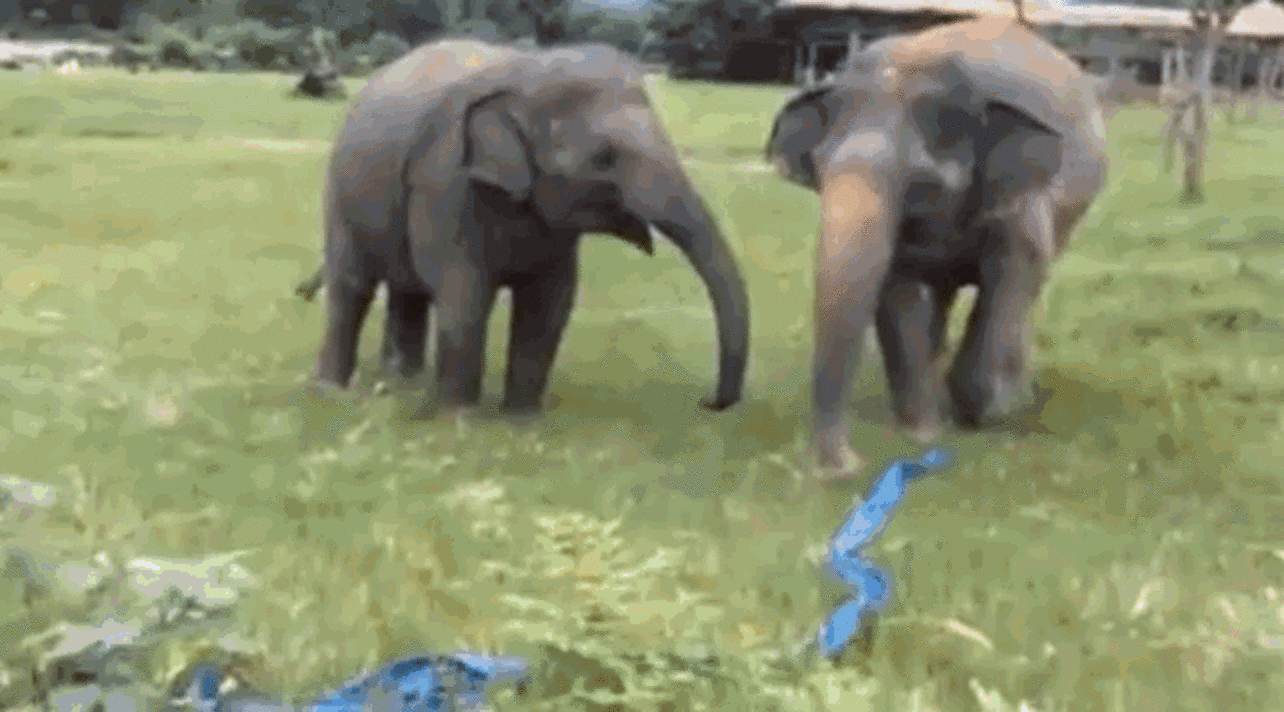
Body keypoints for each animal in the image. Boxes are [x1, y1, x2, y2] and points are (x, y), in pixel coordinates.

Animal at [310, 39, 750, 416]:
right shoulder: (446, 180)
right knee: (352, 286)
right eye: (604, 157)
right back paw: (334, 390)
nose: (707, 402)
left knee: (408, 292)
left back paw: (402, 383)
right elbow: (464, 296)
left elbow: (549, 305)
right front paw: (458, 422)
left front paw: (520, 423)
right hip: (339, 196)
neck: (530, 72)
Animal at [766, 17, 1109, 478]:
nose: (845, 466)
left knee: (1024, 293)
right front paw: (924, 432)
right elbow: (898, 291)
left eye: (921, 184)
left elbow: (1011, 277)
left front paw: (982, 414)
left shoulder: (1021, 201)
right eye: (819, 169)